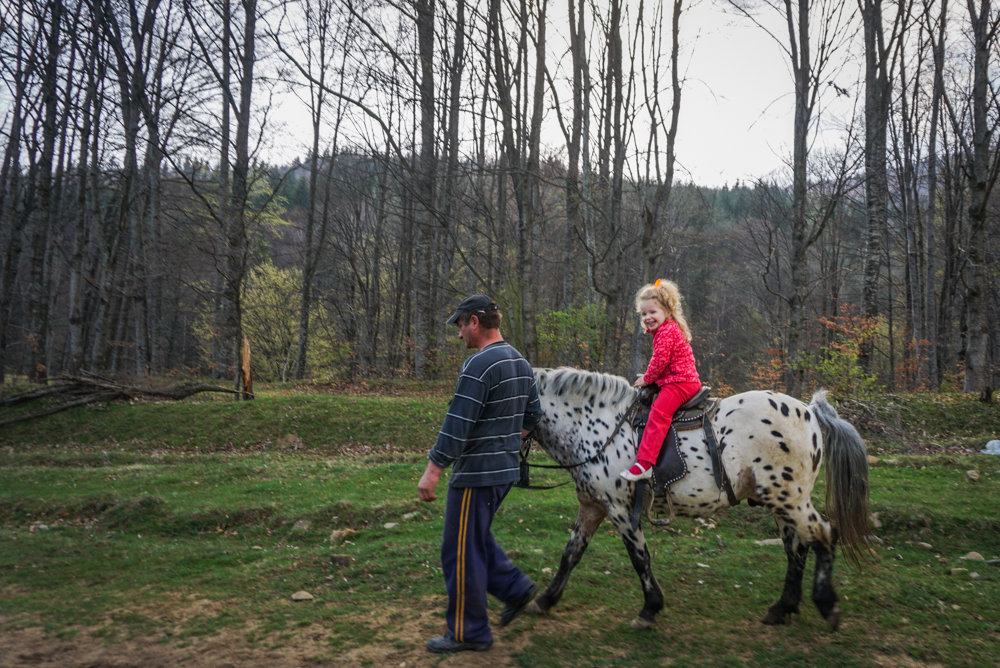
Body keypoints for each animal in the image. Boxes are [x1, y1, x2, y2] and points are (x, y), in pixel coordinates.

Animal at [524, 368, 868, 636]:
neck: (597, 426)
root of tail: (809, 411)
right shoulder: (592, 506)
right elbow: (571, 554)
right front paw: (544, 600)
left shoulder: (619, 509)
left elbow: (639, 558)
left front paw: (649, 609)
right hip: (781, 502)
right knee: (797, 548)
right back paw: (782, 608)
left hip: (789, 499)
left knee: (823, 535)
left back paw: (827, 604)